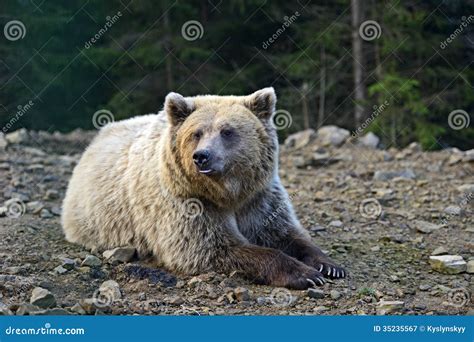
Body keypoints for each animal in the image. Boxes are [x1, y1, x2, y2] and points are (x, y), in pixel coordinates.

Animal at [61, 88, 346, 288]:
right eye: (196, 133)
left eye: (227, 131)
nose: (202, 156)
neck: (227, 192)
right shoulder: (187, 202)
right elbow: (213, 247)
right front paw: (305, 274)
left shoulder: (259, 198)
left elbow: (284, 232)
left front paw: (329, 266)